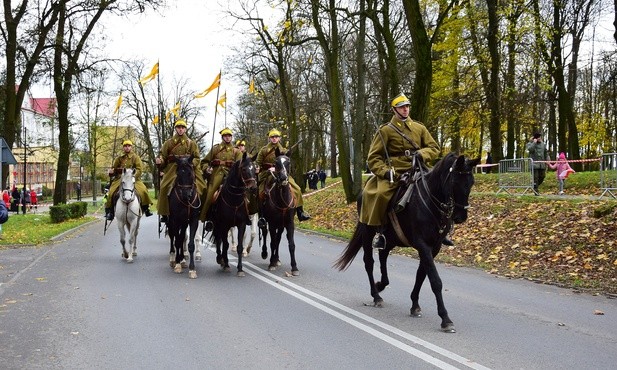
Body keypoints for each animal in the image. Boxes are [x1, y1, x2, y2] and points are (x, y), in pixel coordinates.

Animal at [334, 153, 478, 332]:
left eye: (471, 182)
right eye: (454, 182)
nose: (460, 217)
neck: (429, 200)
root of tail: (362, 192)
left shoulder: (434, 247)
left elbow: (421, 275)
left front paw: (415, 305)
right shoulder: (423, 245)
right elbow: (435, 281)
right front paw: (445, 318)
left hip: (390, 238)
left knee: (383, 255)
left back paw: (381, 284)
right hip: (367, 232)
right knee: (369, 262)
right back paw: (376, 295)